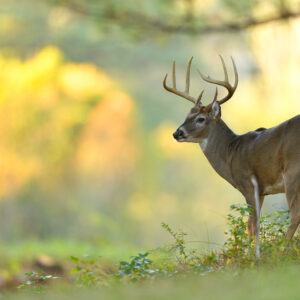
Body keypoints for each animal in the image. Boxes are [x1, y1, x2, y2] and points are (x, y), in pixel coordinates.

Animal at [164, 55, 300, 256]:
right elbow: (251, 224)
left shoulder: (248, 183)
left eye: (201, 119)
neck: (231, 153)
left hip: (292, 172)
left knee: (295, 215)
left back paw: (281, 250)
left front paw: (253, 255)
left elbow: (253, 224)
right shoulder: (261, 191)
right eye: (187, 116)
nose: (176, 133)